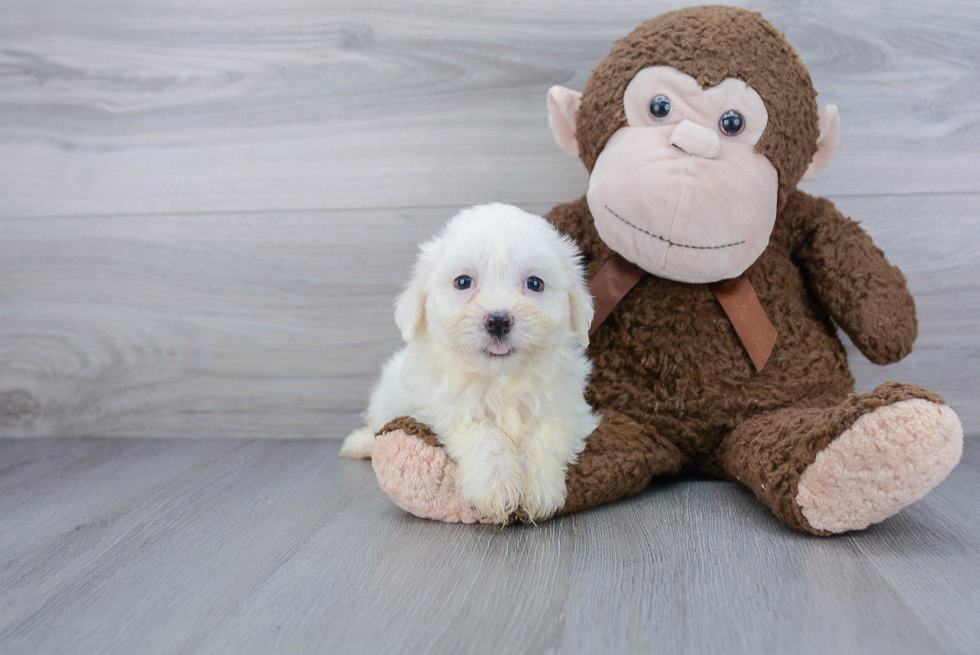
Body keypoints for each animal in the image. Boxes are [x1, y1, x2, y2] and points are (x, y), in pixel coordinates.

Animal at [344, 204, 596, 524]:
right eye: (463, 282)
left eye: (535, 283)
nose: (498, 320)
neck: (500, 377)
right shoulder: (440, 407)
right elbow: (481, 434)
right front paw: (497, 487)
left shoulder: (567, 407)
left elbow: (546, 434)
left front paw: (539, 490)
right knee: (376, 422)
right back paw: (359, 444)